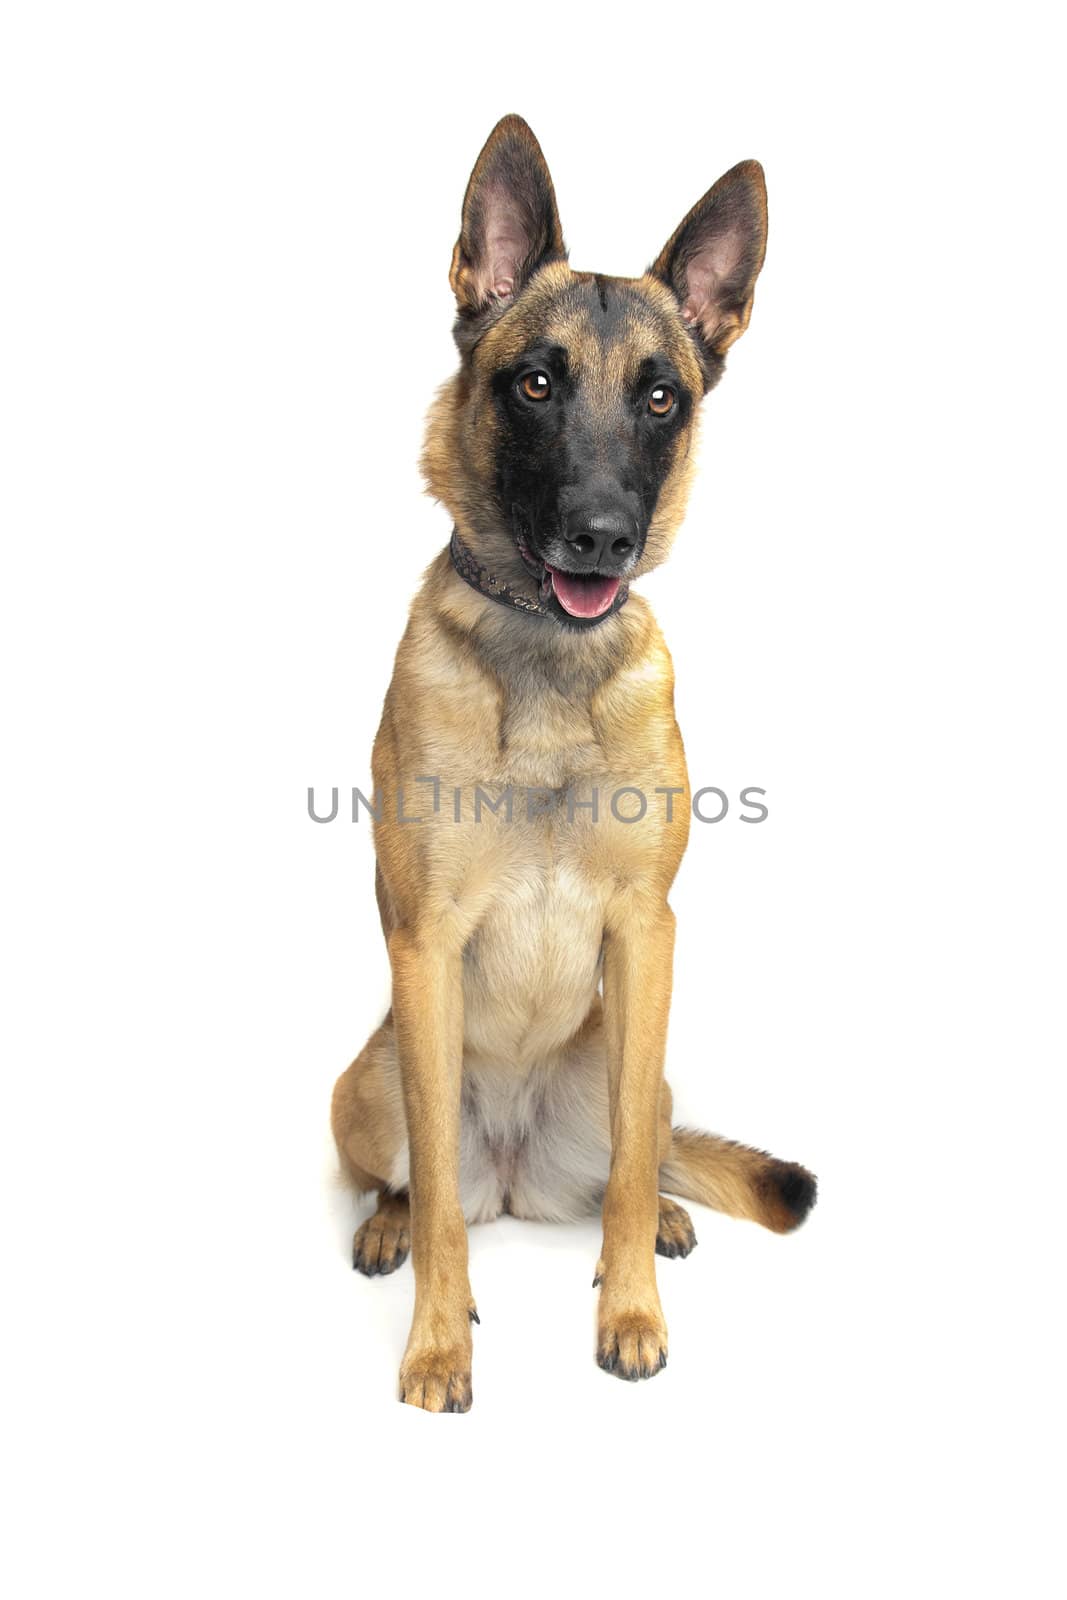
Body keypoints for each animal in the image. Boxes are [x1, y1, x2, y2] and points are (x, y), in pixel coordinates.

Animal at [334, 116, 819, 1414]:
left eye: (659, 397)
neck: (549, 663)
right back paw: (390, 1221)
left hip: (631, 1075)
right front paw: (435, 1345)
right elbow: (440, 1217)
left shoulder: (646, 932)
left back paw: (656, 1216)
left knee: (629, 1161)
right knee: (424, 1180)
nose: (600, 537)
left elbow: (624, 1186)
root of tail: (513, 1168)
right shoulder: (426, 944)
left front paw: (631, 1312)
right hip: (373, 1076)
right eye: (535, 382)